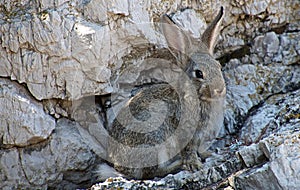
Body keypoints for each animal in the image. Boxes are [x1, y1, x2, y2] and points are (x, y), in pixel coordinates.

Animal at [99, 6, 226, 180]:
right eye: (199, 73)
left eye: (218, 66)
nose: (220, 89)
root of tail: (120, 169)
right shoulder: (186, 134)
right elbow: (189, 151)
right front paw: (194, 165)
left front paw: (209, 154)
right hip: (153, 140)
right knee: (152, 172)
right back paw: (177, 165)